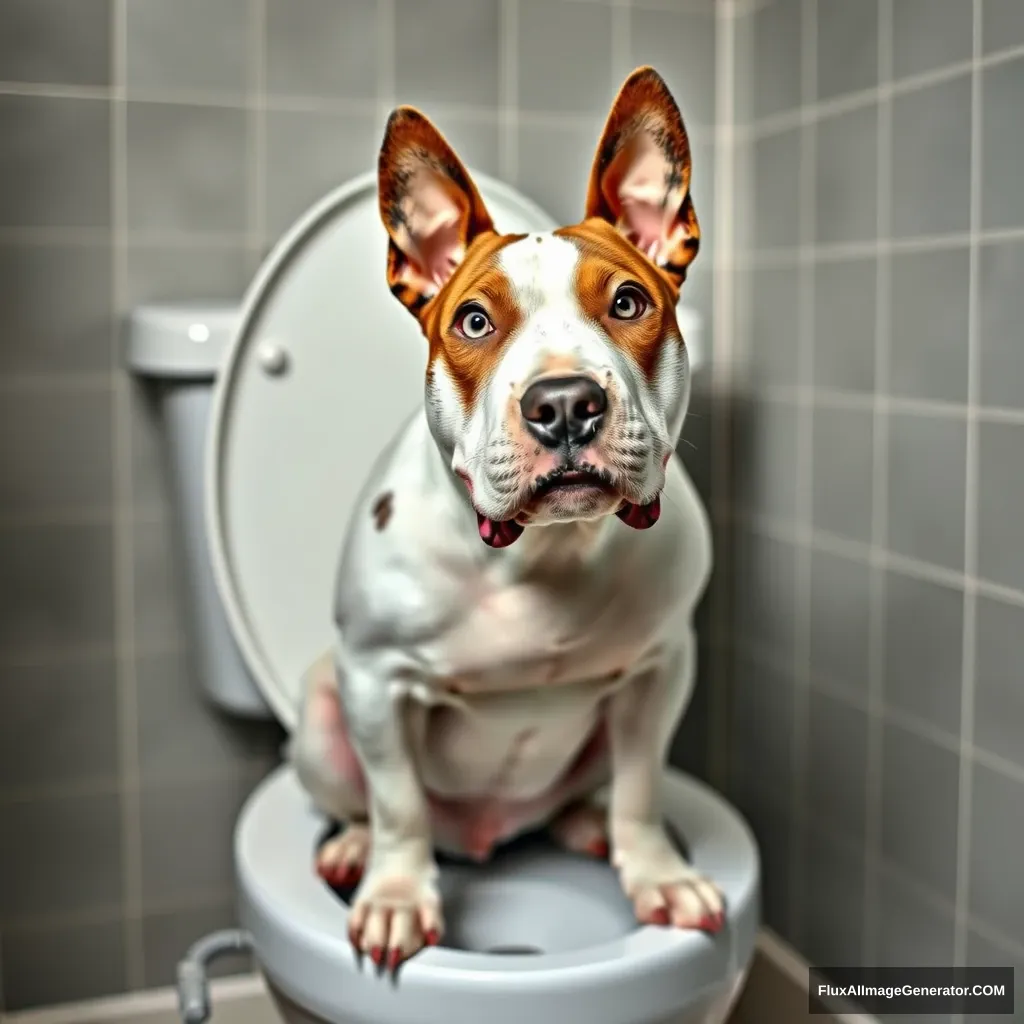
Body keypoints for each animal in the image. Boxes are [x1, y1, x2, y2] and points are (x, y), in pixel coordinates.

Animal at [290, 68, 720, 970]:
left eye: (629, 302)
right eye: (475, 321)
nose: (564, 404)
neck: (543, 556)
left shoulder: (661, 667)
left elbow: (640, 785)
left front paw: (657, 873)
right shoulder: (376, 678)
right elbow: (398, 803)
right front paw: (394, 895)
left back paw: (589, 826)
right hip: (323, 713)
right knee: (366, 802)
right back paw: (355, 849)